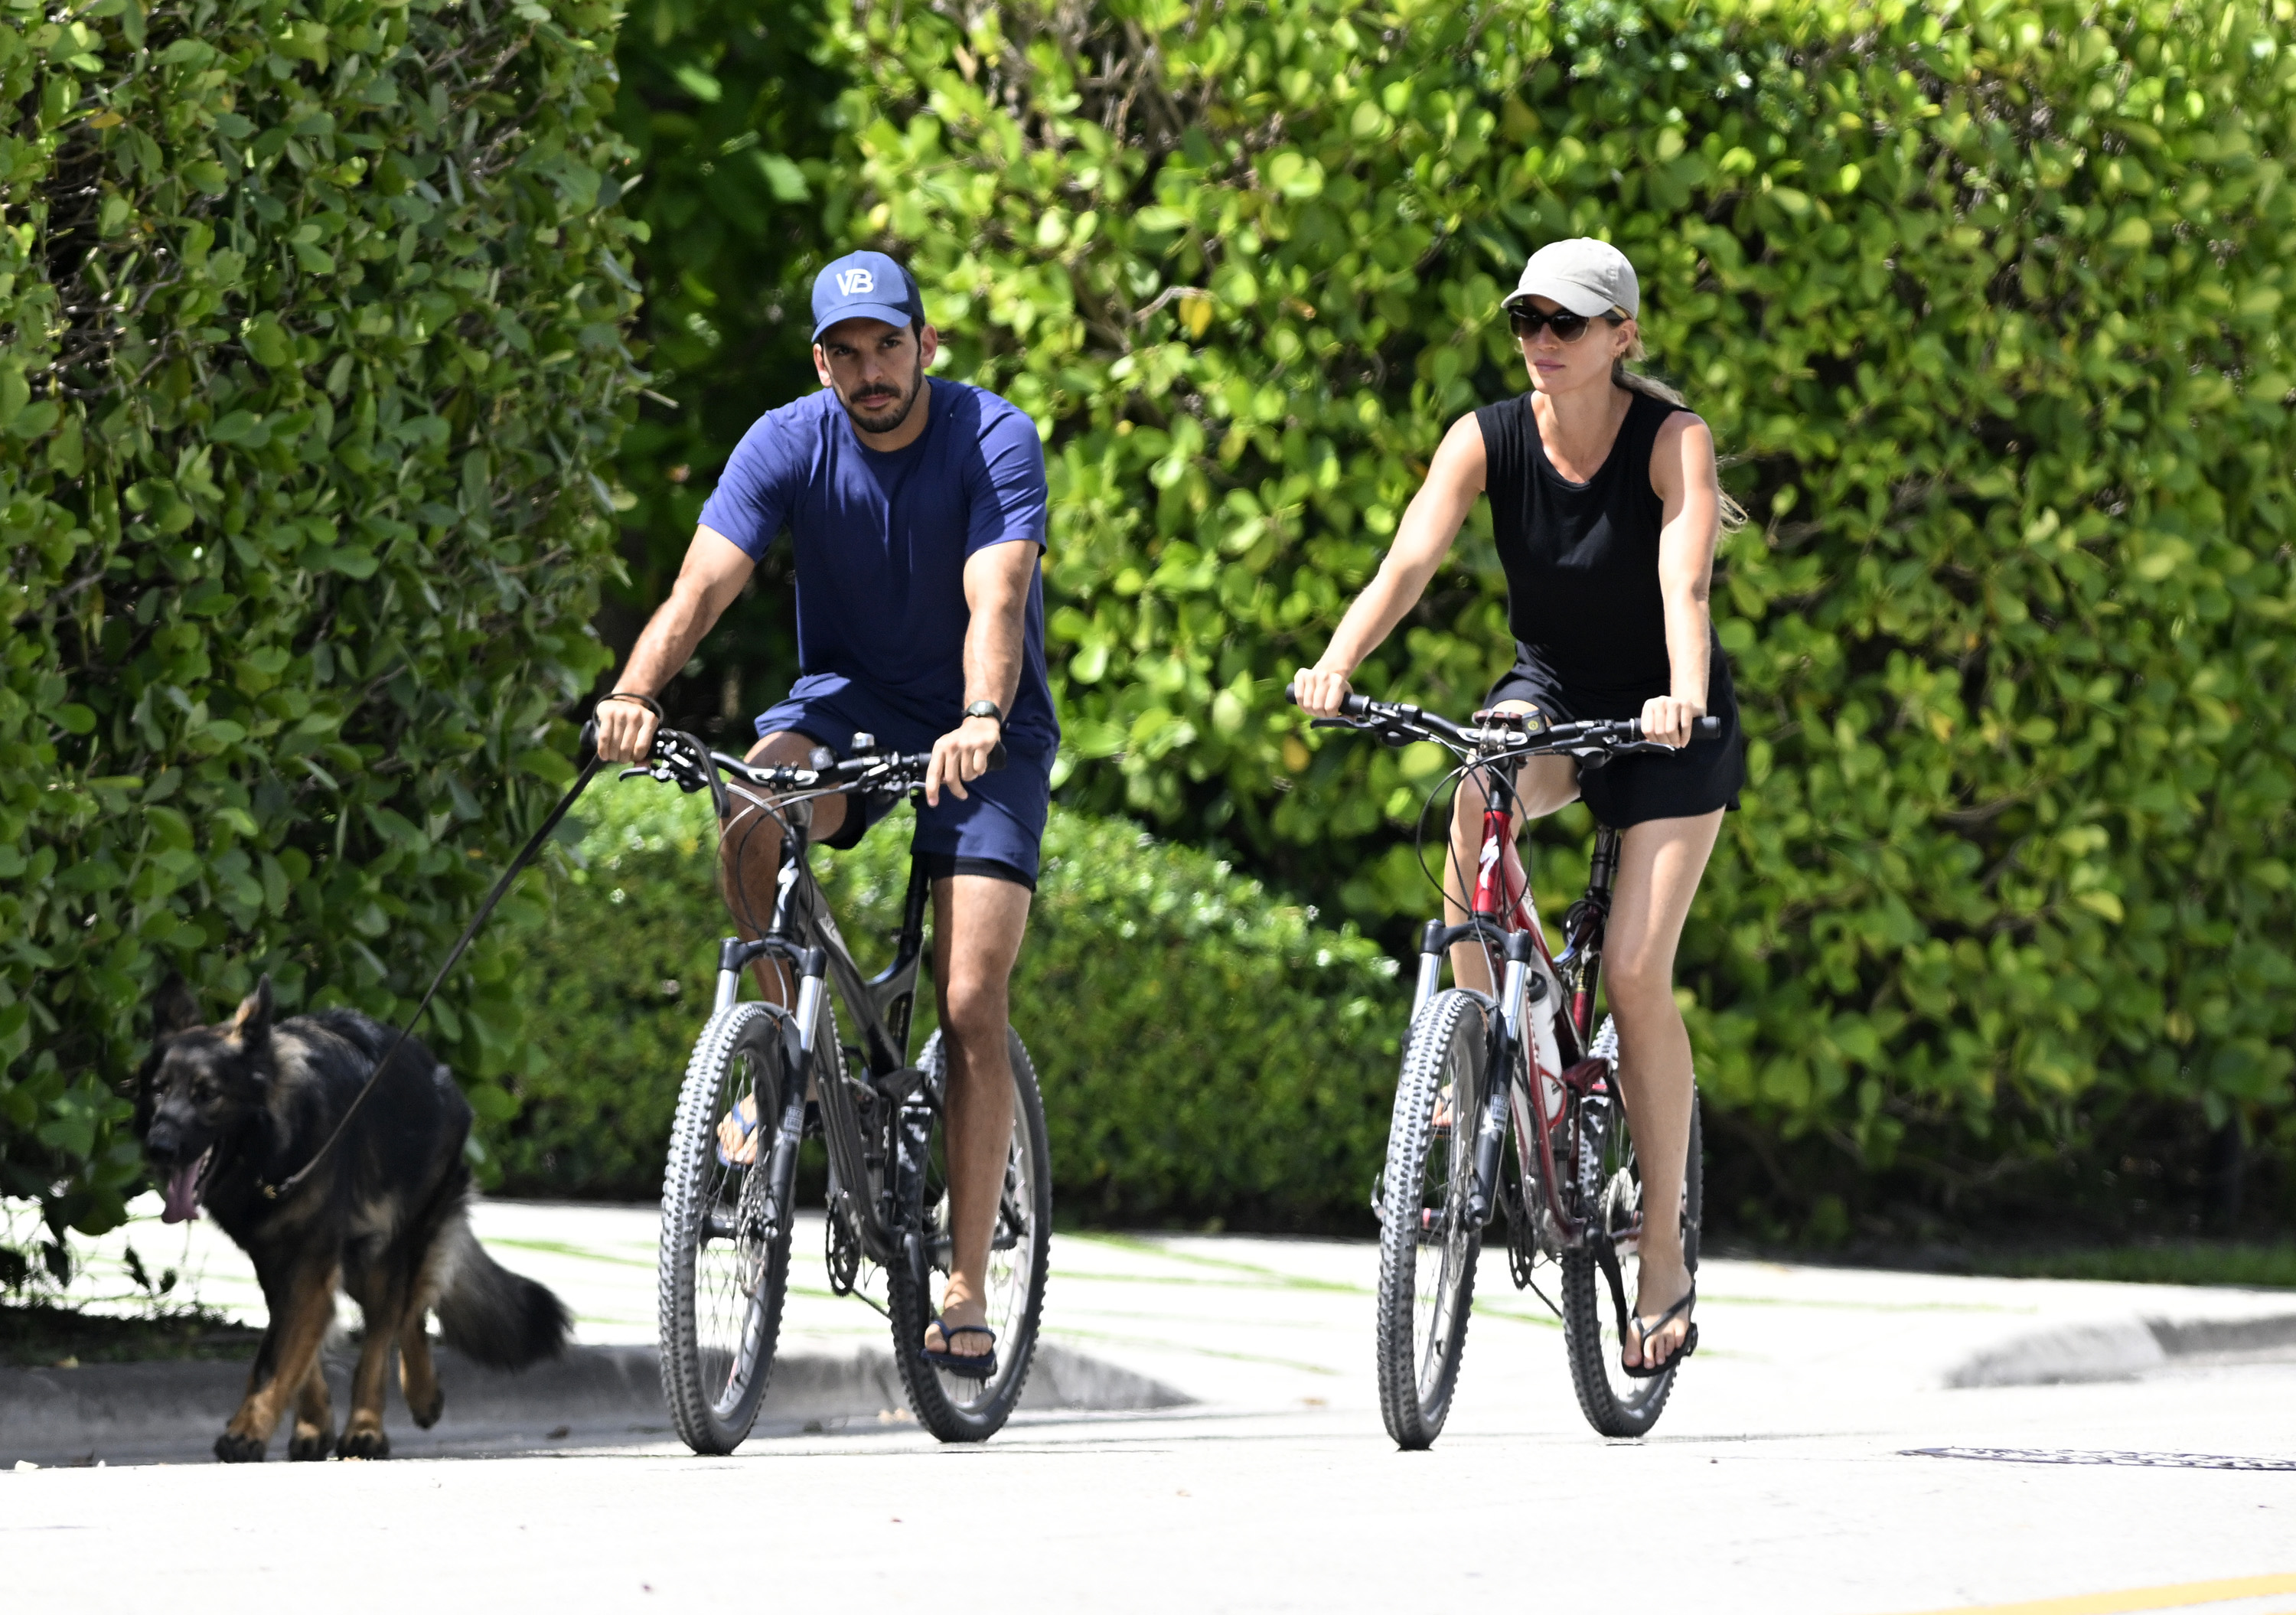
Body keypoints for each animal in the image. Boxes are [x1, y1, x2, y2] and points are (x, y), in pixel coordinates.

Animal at [135, 978, 569, 1460]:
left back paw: (370, 1425)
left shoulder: (309, 1263)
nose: (159, 1147)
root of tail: (439, 1072)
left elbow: (276, 1357)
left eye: (207, 1094)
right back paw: (411, 1400)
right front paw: (312, 1424)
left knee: (391, 1323)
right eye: (158, 1090)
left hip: (389, 1251)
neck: (275, 1149)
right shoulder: (279, 1263)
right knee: (407, 1313)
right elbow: (300, 1349)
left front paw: (246, 1431)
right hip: (361, 1261)